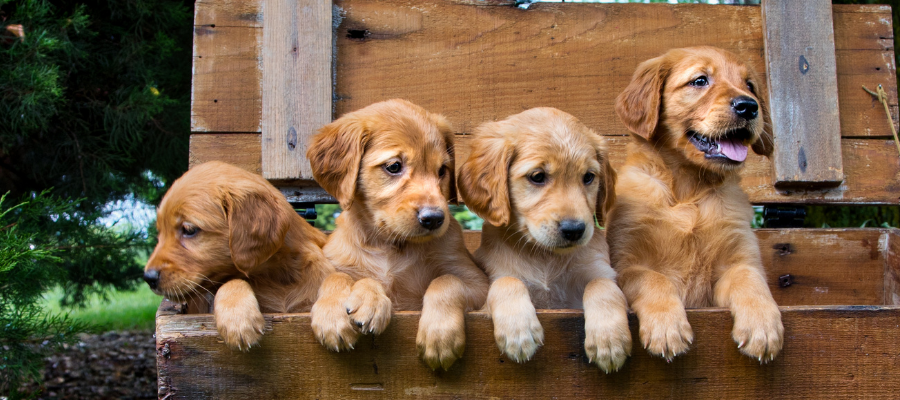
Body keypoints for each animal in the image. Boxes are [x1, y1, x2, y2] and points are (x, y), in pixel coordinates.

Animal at [144, 162, 334, 350]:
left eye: (189, 229)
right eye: (160, 232)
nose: (148, 278)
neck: (275, 276)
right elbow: (231, 281)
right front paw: (237, 320)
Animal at [306, 98, 488, 370]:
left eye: (442, 170)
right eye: (394, 166)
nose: (434, 218)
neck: (388, 243)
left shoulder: (479, 283)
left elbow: (446, 280)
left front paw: (439, 334)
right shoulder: (337, 261)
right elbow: (336, 276)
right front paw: (338, 311)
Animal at [458, 108, 632, 374]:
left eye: (588, 177)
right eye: (537, 176)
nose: (574, 230)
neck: (545, 256)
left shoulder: (600, 273)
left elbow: (602, 285)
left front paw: (609, 339)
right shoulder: (494, 281)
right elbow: (507, 281)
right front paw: (519, 331)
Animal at [608, 46, 784, 362]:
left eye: (750, 85)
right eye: (700, 80)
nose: (749, 106)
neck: (689, 192)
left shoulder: (737, 259)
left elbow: (750, 279)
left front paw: (763, 327)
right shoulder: (628, 263)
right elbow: (654, 278)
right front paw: (667, 328)